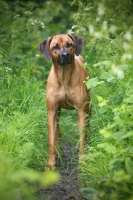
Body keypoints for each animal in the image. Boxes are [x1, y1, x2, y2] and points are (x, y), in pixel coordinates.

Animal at [38, 34, 90, 169]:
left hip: (88, 109)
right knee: (57, 132)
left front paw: (83, 162)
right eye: (55, 47)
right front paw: (50, 164)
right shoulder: (52, 111)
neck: (64, 75)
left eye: (69, 44)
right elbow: (51, 140)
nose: (65, 55)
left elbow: (82, 139)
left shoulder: (81, 111)